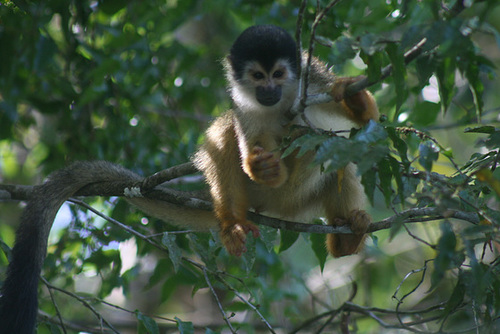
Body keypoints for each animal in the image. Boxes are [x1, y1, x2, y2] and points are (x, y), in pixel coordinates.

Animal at [193, 24, 376, 258]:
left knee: (335, 149)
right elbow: (252, 143)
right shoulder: (241, 102)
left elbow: (369, 122)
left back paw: (346, 241)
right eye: (258, 76)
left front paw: (356, 100)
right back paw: (232, 224)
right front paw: (261, 168)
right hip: (260, 193)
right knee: (225, 129)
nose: (269, 89)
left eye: (278, 74)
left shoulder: (313, 78)